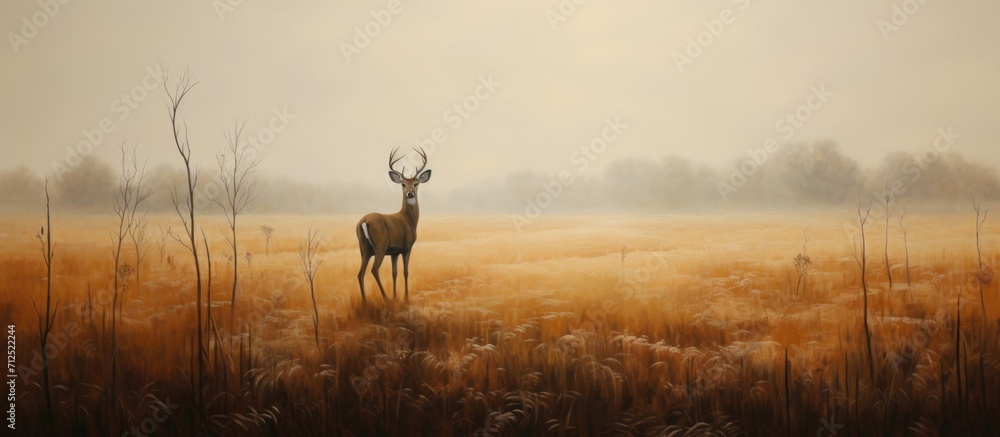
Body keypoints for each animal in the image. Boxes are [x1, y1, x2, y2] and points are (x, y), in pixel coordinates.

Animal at [356, 147, 431, 303]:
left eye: (416, 183)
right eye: (403, 184)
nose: (410, 193)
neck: (409, 220)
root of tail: (365, 221)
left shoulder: (394, 252)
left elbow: (394, 273)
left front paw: (396, 295)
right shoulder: (407, 247)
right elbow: (406, 272)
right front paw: (405, 296)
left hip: (364, 248)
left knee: (360, 273)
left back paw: (365, 301)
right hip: (380, 245)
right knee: (374, 269)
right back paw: (385, 297)